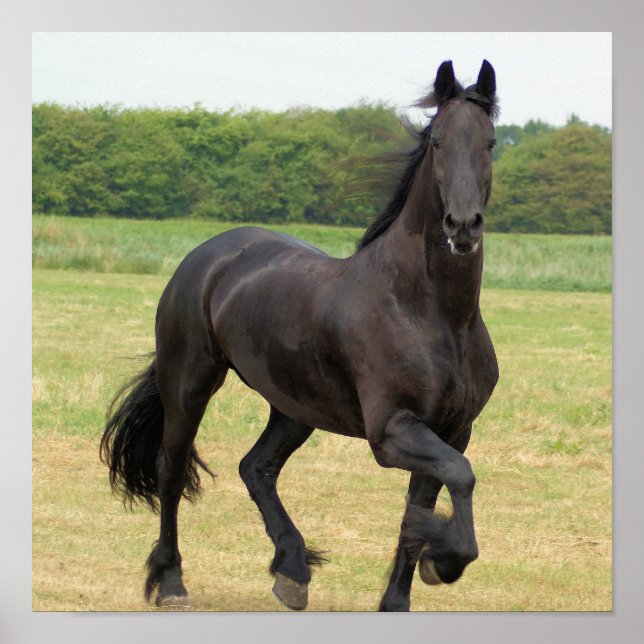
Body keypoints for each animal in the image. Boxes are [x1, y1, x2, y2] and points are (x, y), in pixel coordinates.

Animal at [100, 59, 500, 612]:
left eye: (491, 142)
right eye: (437, 141)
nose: (463, 226)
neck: (432, 314)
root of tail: (207, 255)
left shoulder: (453, 430)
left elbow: (419, 509)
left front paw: (401, 595)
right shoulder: (392, 431)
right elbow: (460, 475)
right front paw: (444, 563)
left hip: (293, 407)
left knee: (257, 468)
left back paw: (292, 571)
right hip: (190, 384)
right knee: (171, 469)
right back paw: (172, 582)